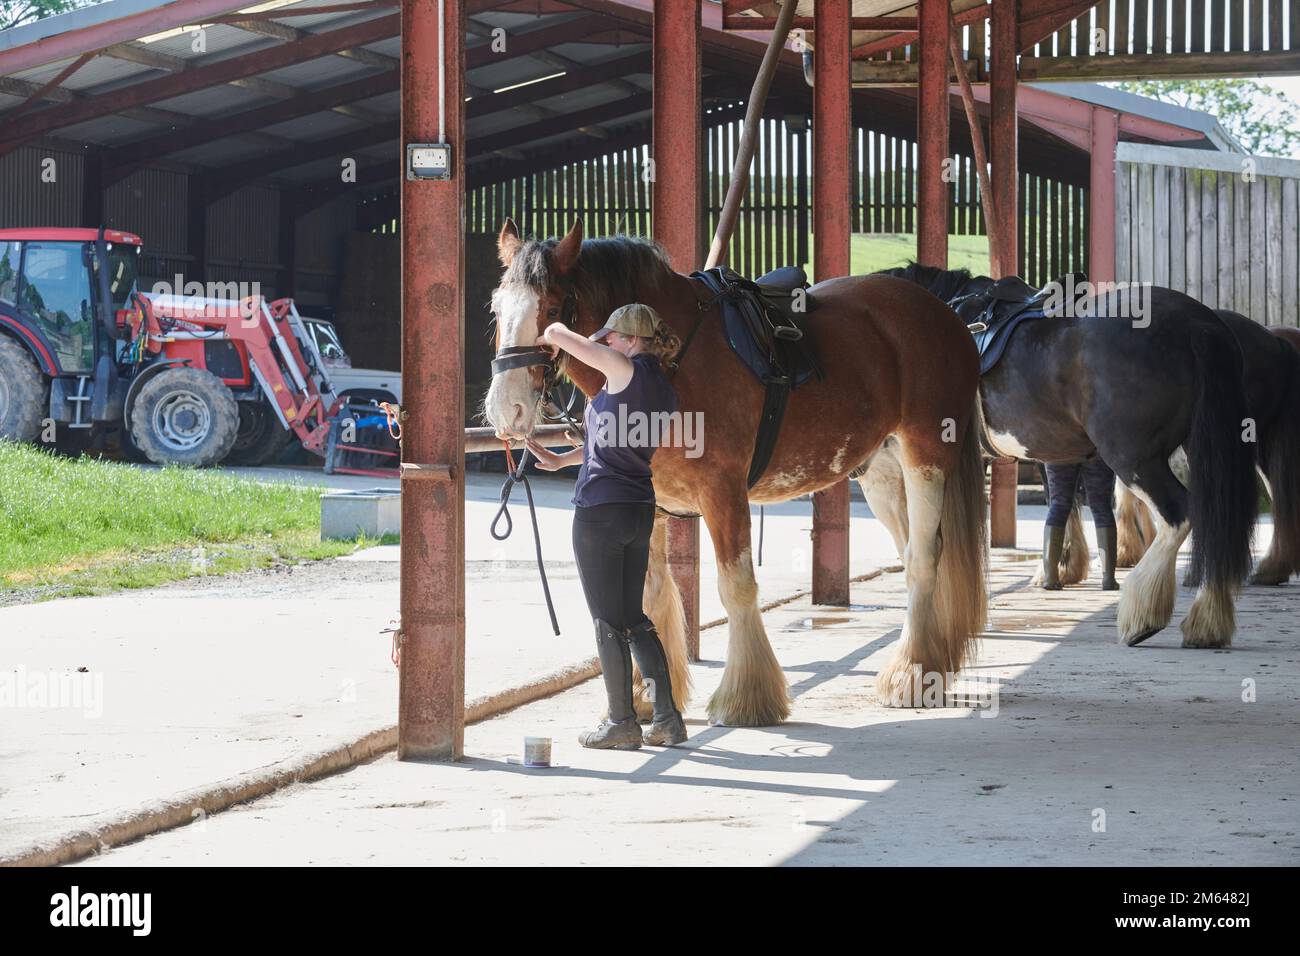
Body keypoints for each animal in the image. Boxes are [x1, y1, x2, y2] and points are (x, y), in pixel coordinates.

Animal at [486, 218, 982, 723]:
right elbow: (649, 592)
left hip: (926, 457)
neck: (671, 361)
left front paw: (745, 697)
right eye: (497, 307)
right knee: (912, 552)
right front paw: (648, 694)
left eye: (551, 310)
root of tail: (946, 317)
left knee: (923, 558)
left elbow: (736, 588)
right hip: (882, 472)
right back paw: (930, 661)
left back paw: (912, 674)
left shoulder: (722, 491)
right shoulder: (649, 500)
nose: (508, 409)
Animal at [863, 265, 1258, 647]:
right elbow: (1060, 509)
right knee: (1213, 518)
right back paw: (1206, 624)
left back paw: (1142, 616)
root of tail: (1195, 322)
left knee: (1179, 515)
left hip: (1134, 458)